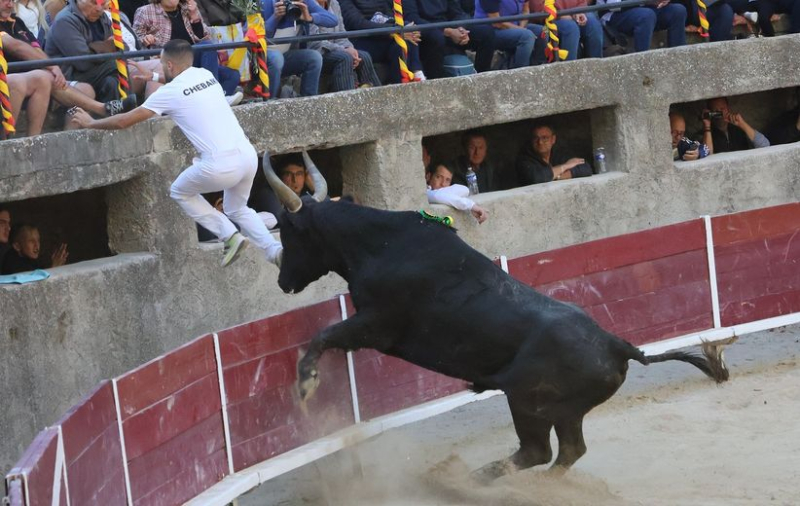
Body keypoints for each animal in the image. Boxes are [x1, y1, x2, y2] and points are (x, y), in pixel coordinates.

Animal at [266, 152, 728, 480]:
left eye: (288, 232)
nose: (282, 279)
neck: (380, 243)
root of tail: (618, 344)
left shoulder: (376, 324)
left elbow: (324, 335)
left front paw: (305, 386)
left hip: (526, 400)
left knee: (537, 450)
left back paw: (465, 481)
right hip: (566, 411)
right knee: (568, 451)